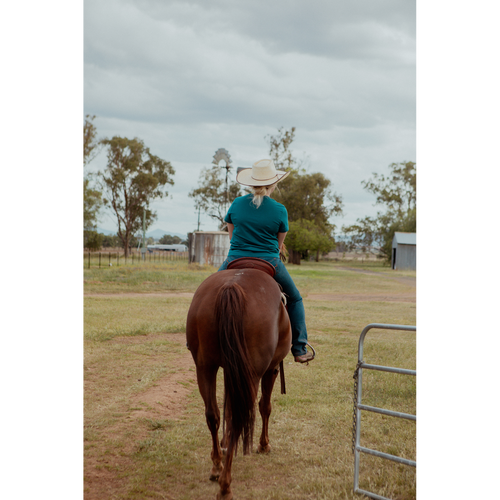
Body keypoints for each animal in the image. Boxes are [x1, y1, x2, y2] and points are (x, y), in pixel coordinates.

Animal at [186, 264, 292, 498]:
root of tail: (231, 286)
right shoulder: (271, 369)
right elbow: (265, 407)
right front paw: (263, 445)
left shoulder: (230, 370)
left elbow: (226, 409)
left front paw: (225, 446)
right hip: (252, 374)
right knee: (241, 417)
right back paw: (225, 486)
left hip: (205, 367)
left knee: (213, 415)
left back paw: (217, 467)